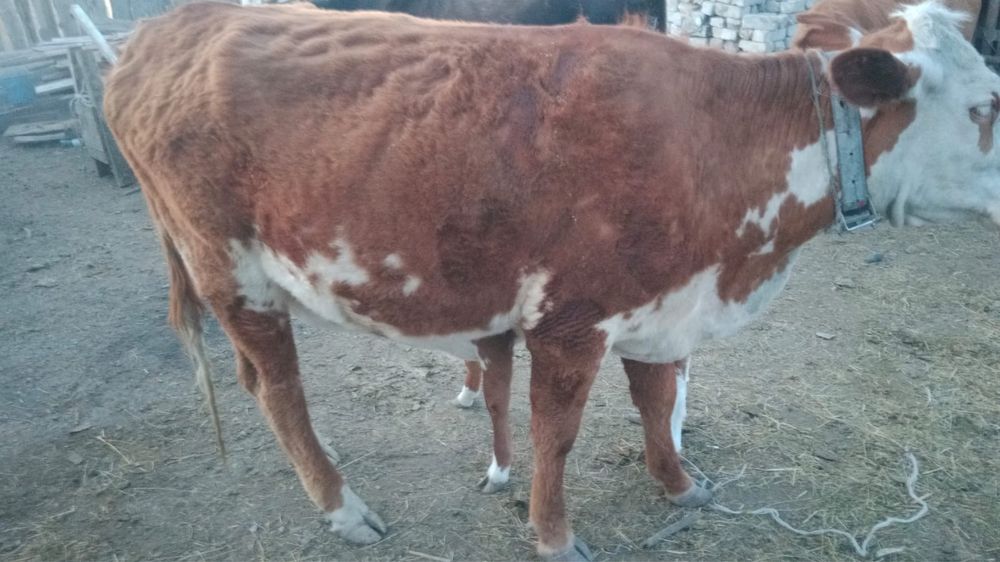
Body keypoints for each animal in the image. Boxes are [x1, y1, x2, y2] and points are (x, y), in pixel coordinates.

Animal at [104, 2, 1000, 560]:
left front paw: (679, 485)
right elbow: (556, 434)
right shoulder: (572, 319)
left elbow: (657, 402)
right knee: (277, 388)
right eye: (986, 105)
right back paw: (343, 509)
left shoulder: (660, 306)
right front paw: (555, 535)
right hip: (232, 272)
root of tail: (166, 26)